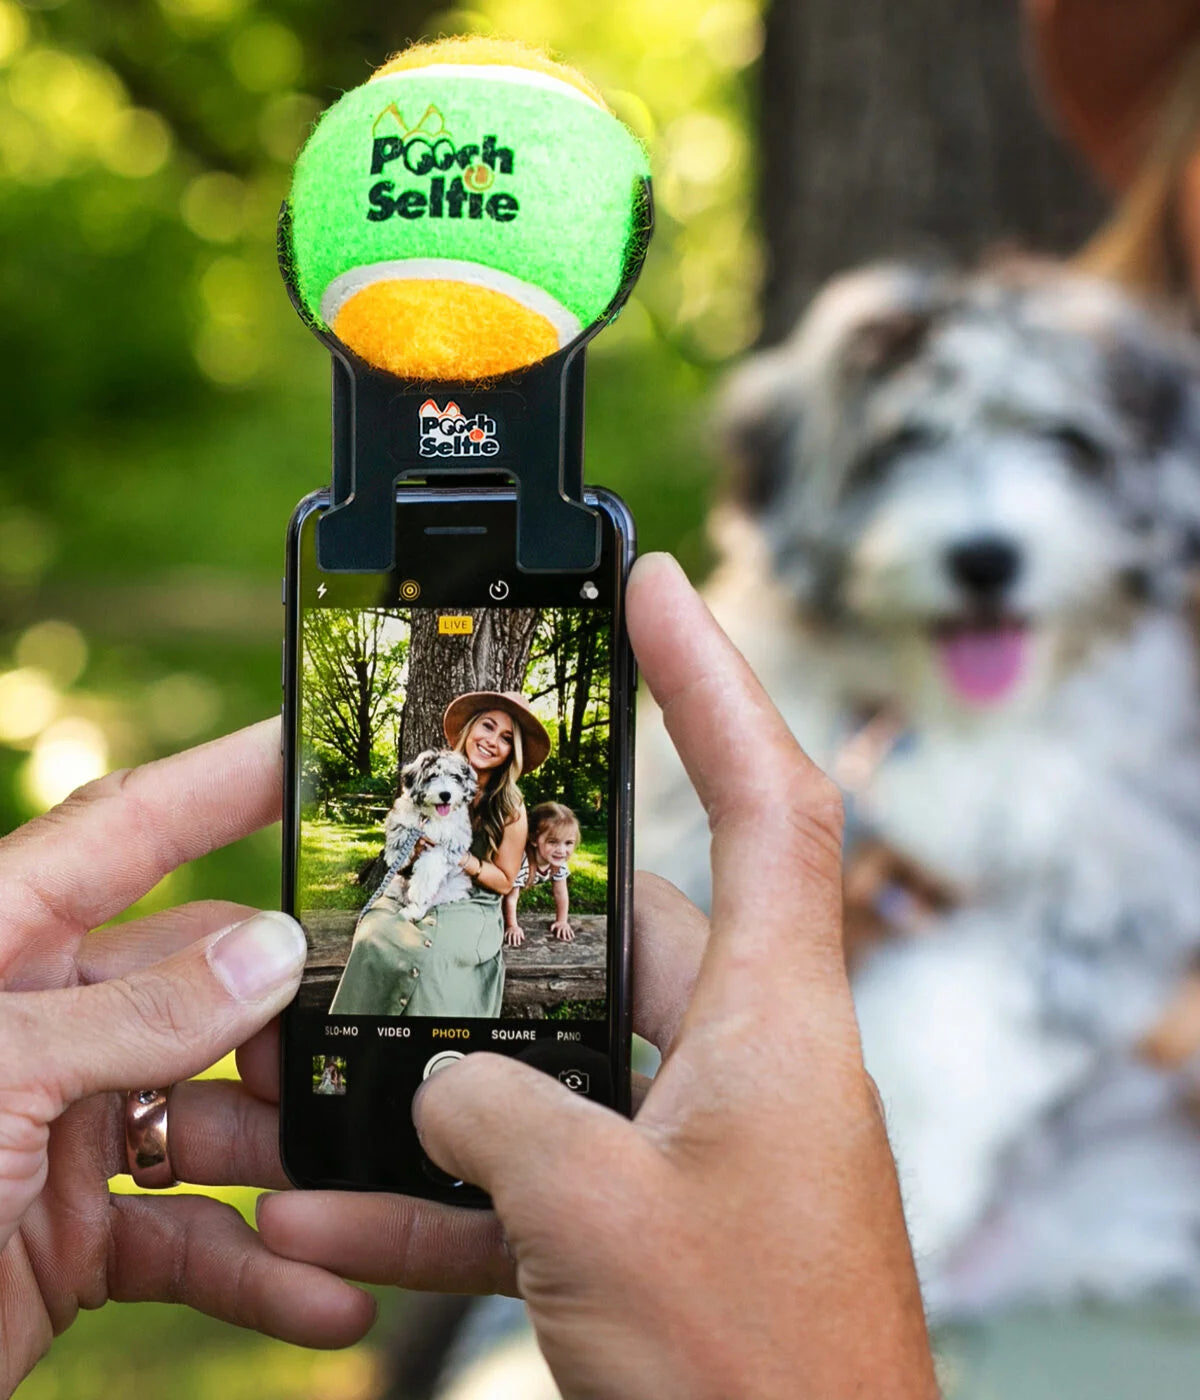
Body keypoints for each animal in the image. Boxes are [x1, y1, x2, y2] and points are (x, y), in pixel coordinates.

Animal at [383, 750, 478, 924]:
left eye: (455, 776)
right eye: (432, 776)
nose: (445, 795)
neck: (431, 816)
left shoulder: (453, 841)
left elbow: (432, 862)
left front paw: (420, 889)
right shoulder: (403, 813)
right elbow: (400, 828)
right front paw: (396, 856)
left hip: (455, 884)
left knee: (424, 903)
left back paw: (412, 911)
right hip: (395, 883)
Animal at [635, 260, 1200, 1310]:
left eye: (1067, 441)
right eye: (904, 441)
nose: (985, 557)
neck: (937, 721)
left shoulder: (1124, 872)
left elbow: (957, 1009)